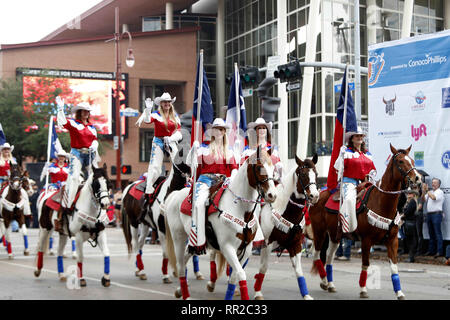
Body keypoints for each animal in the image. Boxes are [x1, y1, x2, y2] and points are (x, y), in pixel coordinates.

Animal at [165, 145, 278, 300]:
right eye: (259, 167)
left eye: (273, 168)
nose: (272, 195)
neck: (240, 209)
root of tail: (174, 195)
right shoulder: (227, 247)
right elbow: (240, 274)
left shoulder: (246, 248)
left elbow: (234, 277)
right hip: (179, 238)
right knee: (181, 265)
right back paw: (185, 294)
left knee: (187, 256)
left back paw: (179, 291)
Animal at [253, 155, 320, 300]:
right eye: (303, 174)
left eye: (316, 174)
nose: (315, 196)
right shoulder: (267, 244)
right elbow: (263, 267)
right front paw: (257, 292)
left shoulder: (295, 244)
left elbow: (298, 270)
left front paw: (306, 295)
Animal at [310, 145, 422, 300]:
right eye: (400, 161)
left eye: (411, 160)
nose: (417, 178)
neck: (381, 202)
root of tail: (318, 194)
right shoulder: (366, 240)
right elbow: (365, 264)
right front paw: (363, 290)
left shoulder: (392, 240)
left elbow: (394, 266)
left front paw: (399, 292)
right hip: (320, 232)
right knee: (316, 254)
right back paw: (324, 282)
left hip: (334, 235)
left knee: (329, 256)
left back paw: (330, 284)